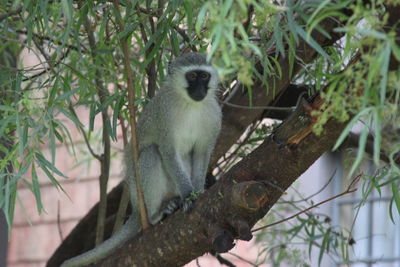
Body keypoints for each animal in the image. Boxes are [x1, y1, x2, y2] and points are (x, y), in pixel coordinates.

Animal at [61, 52, 222, 267]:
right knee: (152, 153)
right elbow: (168, 152)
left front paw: (198, 192)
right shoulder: (164, 115)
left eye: (204, 76)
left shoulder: (214, 116)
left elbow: (202, 154)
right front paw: (188, 195)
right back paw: (156, 215)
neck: (190, 105)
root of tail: (137, 210)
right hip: (141, 196)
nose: (200, 89)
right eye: (192, 76)